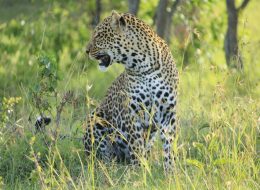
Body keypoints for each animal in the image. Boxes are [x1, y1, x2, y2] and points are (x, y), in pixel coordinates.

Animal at [84, 10, 178, 172]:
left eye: (99, 35)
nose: (86, 51)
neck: (143, 65)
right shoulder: (133, 112)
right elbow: (136, 146)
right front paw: (140, 172)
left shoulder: (168, 112)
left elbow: (168, 146)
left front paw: (171, 171)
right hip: (95, 118)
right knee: (101, 155)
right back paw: (109, 168)